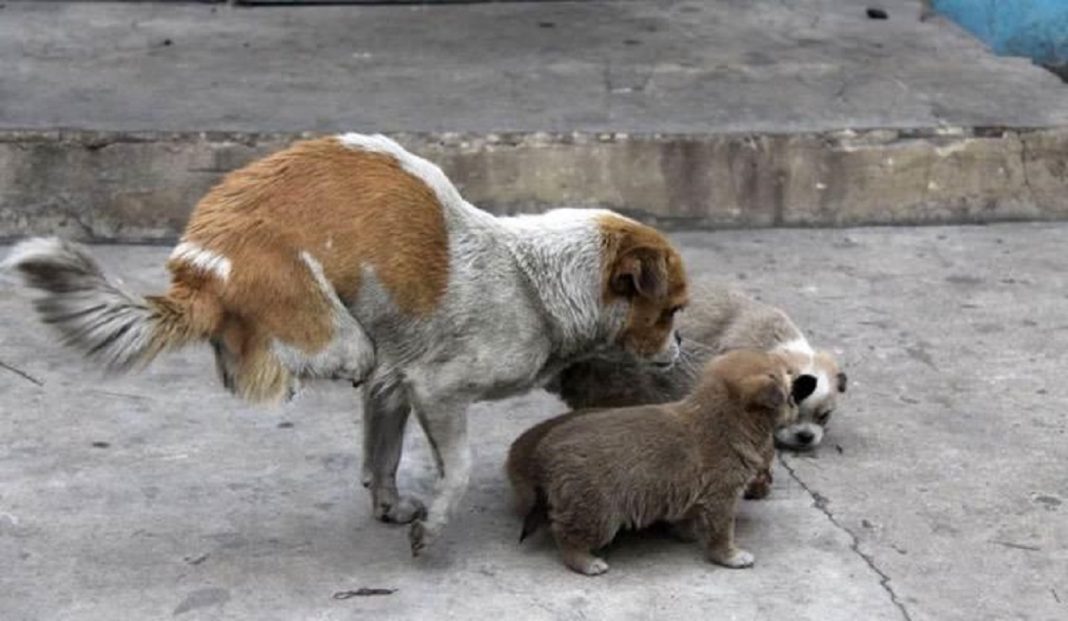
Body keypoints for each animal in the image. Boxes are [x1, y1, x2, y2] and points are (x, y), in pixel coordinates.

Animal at [4, 133, 687, 555]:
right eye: (672, 311)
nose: (680, 347)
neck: (532, 281)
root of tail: (200, 269)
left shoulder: (396, 385)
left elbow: (382, 456)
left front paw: (390, 507)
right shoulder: (437, 389)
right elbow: (460, 467)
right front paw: (434, 524)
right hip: (330, 331)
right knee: (315, 358)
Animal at [504, 348, 811, 577]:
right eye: (790, 394)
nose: (803, 381)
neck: (726, 417)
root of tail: (544, 453)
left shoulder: (695, 495)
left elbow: (690, 518)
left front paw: (687, 533)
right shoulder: (722, 497)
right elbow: (722, 533)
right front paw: (730, 556)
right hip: (598, 512)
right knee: (565, 535)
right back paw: (586, 562)